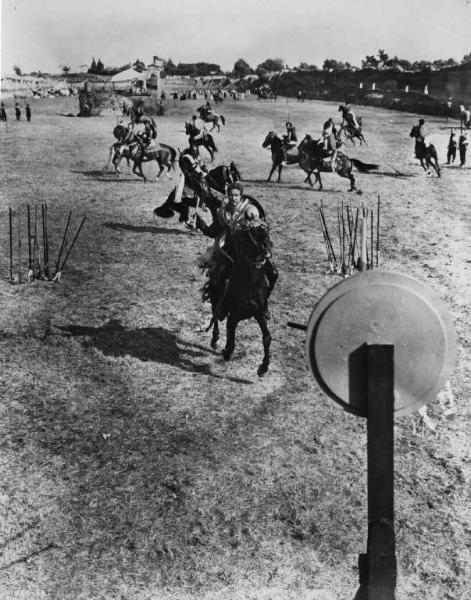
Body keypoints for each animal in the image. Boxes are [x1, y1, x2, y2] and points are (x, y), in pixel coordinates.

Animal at [204, 223, 276, 378]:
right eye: (247, 238)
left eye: (267, 233)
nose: (266, 252)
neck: (251, 285)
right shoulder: (234, 316)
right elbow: (230, 337)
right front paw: (226, 351)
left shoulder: (259, 313)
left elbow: (267, 337)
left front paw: (263, 367)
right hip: (215, 297)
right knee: (215, 315)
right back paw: (215, 339)